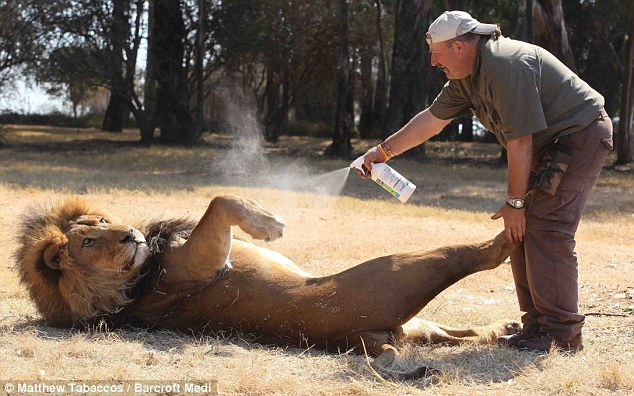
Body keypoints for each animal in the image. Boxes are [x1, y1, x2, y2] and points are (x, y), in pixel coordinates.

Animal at [14, 196, 520, 378]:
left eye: (100, 223)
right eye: (88, 242)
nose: (129, 236)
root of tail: (361, 341)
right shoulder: (202, 262)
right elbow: (221, 200)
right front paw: (268, 222)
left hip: (415, 325)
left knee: (456, 334)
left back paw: (505, 329)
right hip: (399, 269)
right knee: (472, 257)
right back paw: (508, 233)